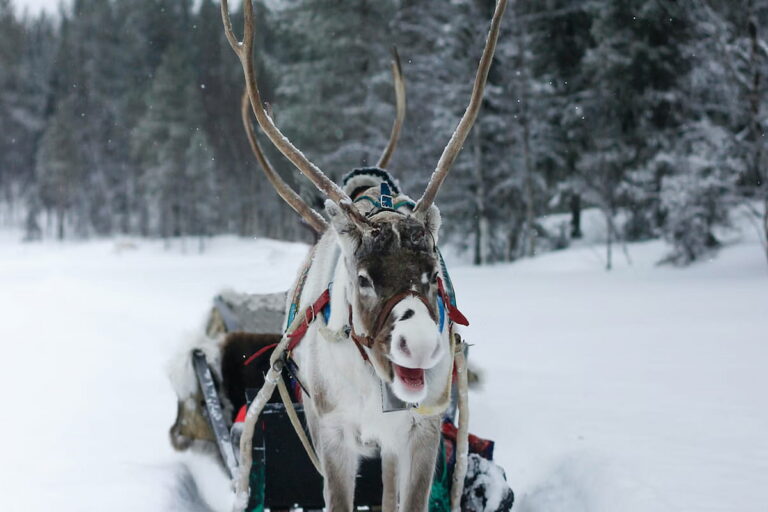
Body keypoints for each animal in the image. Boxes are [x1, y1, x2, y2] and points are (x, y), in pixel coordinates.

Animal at [218, 1, 509, 510]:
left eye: (432, 273)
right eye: (364, 278)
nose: (421, 345)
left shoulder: (422, 430)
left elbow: (408, 500)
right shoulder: (332, 432)